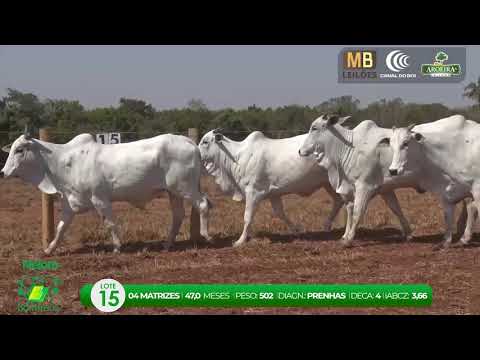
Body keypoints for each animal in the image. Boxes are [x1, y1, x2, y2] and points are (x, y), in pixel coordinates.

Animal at [1, 131, 212, 255]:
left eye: (20, 149)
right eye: (11, 149)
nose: (3, 172)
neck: (62, 162)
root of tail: (190, 143)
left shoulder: (99, 199)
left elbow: (110, 223)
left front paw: (117, 247)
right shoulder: (70, 203)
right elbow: (61, 228)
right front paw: (49, 249)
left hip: (185, 188)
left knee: (203, 204)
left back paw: (206, 236)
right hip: (173, 192)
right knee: (178, 215)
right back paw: (167, 245)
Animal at [198, 128, 344, 246]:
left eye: (205, 141)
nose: (197, 153)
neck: (236, 156)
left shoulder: (253, 192)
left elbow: (247, 217)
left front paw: (240, 241)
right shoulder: (274, 194)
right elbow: (280, 213)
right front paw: (297, 230)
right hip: (328, 184)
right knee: (338, 201)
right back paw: (327, 225)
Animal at [388, 116, 478, 250]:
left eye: (405, 143)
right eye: (391, 145)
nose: (393, 170)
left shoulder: (476, 188)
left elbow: (472, 209)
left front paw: (463, 238)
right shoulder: (449, 193)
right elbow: (449, 215)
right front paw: (446, 241)